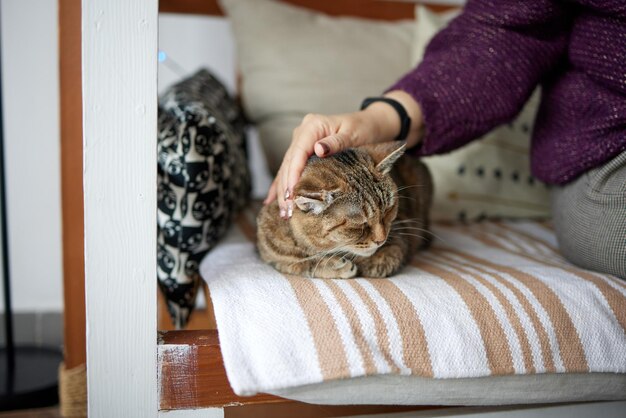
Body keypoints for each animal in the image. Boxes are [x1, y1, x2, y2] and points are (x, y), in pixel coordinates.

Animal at [256, 142, 432, 280]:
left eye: (388, 210)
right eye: (359, 224)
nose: (381, 240)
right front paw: (333, 265)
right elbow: (295, 262)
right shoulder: (269, 252)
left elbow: (382, 260)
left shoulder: (400, 237)